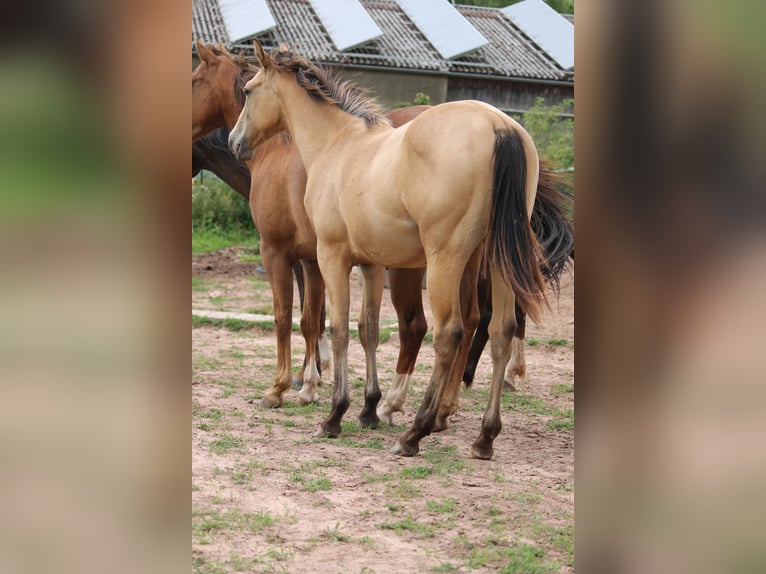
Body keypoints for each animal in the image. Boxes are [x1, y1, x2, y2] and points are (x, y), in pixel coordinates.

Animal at [192, 41, 428, 418]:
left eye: (194, 80)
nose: (233, 142)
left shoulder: (276, 252)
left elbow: (285, 316)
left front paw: (283, 386)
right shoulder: (312, 259)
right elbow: (312, 319)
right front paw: (311, 383)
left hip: (409, 269)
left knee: (416, 326)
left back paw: (393, 405)